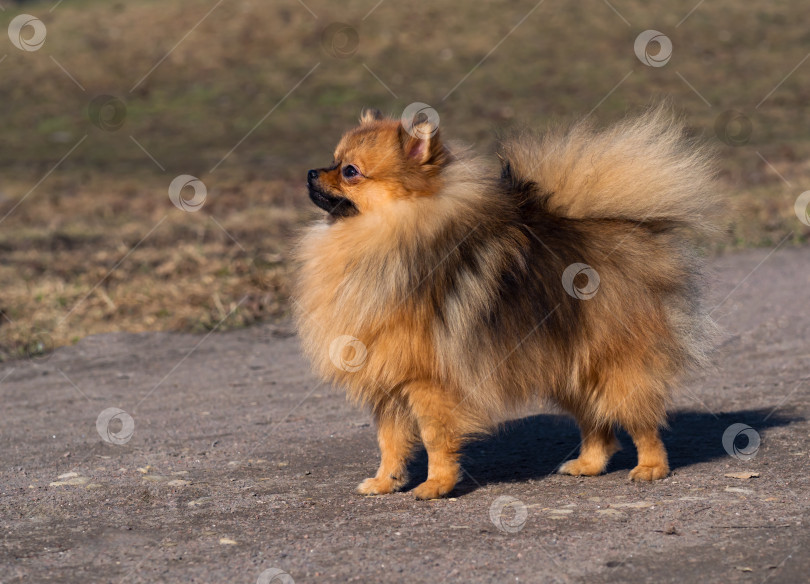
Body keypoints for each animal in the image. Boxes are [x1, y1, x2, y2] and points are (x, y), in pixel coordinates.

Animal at [294, 107, 716, 500]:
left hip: (614, 363)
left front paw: (436, 485)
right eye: (333, 159)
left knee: (641, 419)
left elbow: (434, 437)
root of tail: (627, 229)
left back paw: (651, 467)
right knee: (596, 422)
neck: (380, 235)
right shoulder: (388, 383)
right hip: (570, 366)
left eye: (350, 171)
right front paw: (385, 482)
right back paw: (588, 464)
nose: (311, 172)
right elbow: (390, 441)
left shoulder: (428, 382)